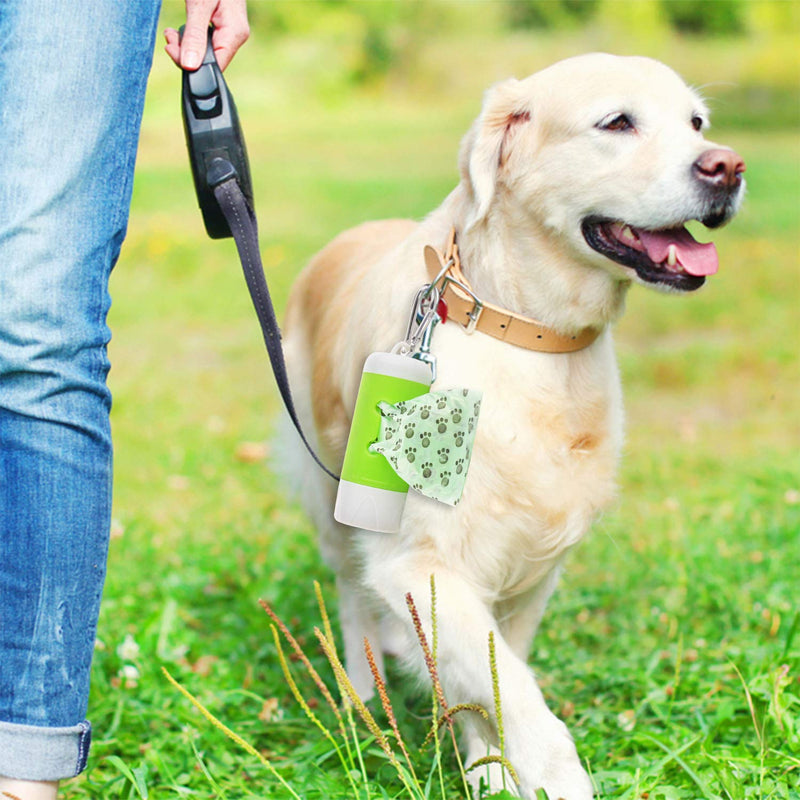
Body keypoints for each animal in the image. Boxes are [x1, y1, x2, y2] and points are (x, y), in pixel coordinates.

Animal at [280, 53, 744, 796]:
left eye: (697, 123)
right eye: (617, 122)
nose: (727, 167)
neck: (527, 332)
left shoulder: (532, 566)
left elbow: (493, 679)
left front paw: (487, 764)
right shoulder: (420, 560)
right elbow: (520, 700)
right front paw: (551, 779)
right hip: (334, 498)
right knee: (351, 596)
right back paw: (362, 695)